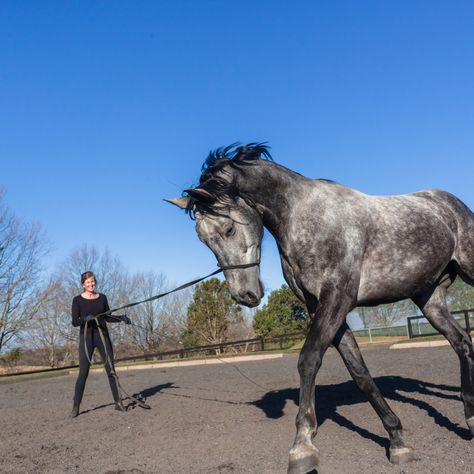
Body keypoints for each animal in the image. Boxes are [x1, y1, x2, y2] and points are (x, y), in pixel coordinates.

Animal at [167, 143, 474, 474]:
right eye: (203, 239)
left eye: (227, 229)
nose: (245, 295)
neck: (305, 218)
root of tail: (449, 203)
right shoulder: (321, 307)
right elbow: (359, 372)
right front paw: (397, 440)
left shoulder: (337, 299)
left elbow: (309, 360)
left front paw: (302, 445)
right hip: (429, 298)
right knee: (461, 342)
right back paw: (469, 416)